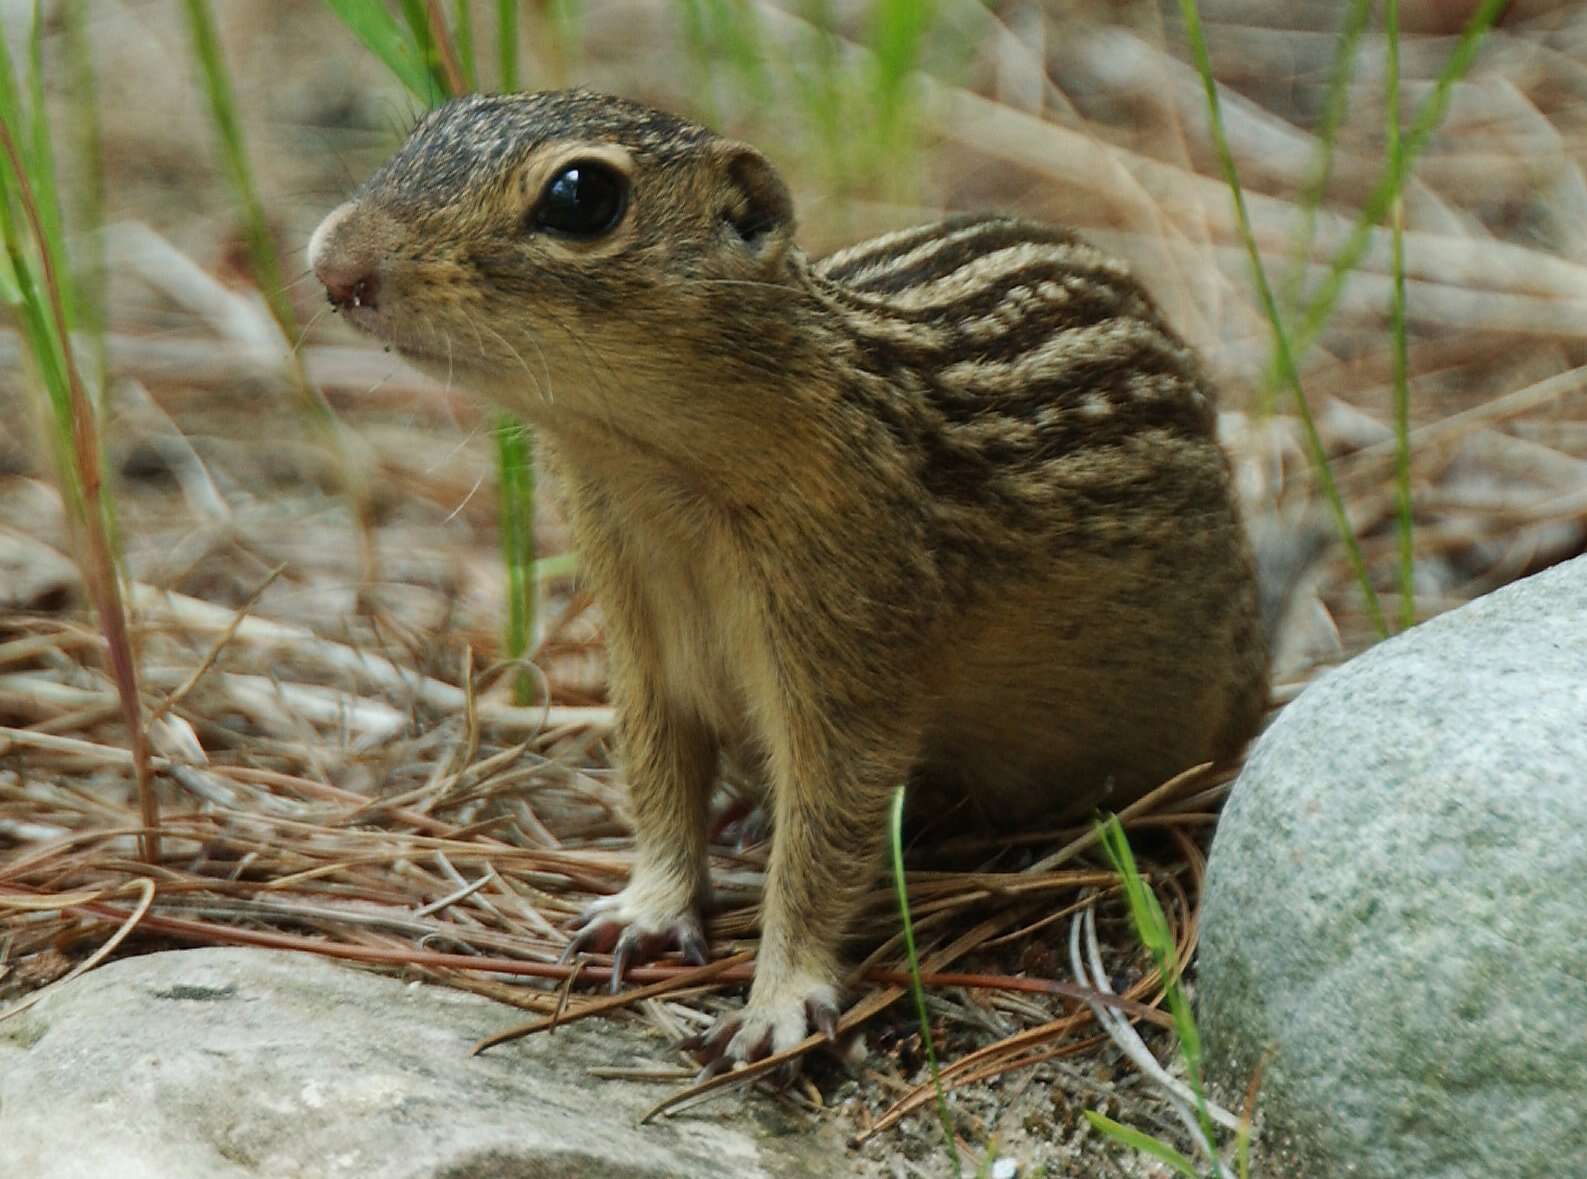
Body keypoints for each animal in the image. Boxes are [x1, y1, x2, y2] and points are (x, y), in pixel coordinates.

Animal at [309, 90, 1269, 1072]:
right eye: (429, 126)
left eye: (581, 196)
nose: (333, 263)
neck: (648, 468)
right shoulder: (641, 649)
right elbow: (658, 784)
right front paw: (647, 908)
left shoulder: (849, 655)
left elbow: (823, 840)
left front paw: (777, 999)